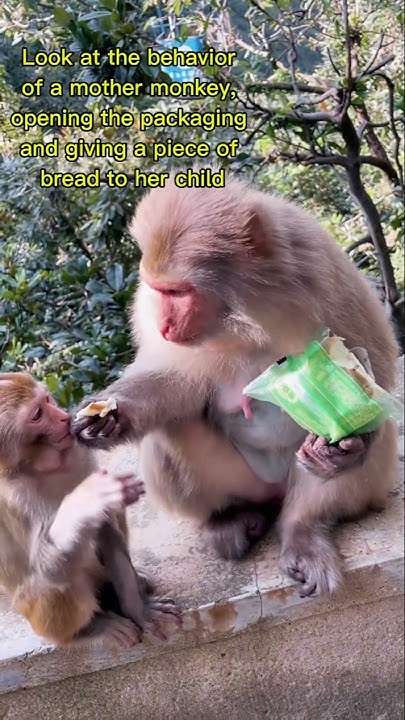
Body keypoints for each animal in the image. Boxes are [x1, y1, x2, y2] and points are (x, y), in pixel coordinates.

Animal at [0, 372, 180, 649]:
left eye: (47, 399)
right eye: (37, 415)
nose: (63, 417)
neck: (39, 467)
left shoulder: (77, 452)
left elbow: (104, 527)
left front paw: (140, 610)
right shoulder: (15, 497)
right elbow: (48, 569)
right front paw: (88, 500)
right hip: (36, 617)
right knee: (53, 585)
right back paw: (91, 629)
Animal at [71, 171, 400, 599]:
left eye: (178, 291)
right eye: (158, 290)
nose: (164, 325)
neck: (245, 307)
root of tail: (272, 493)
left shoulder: (323, 270)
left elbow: (372, 369)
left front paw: (346, 447)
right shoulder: (148, 311)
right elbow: (174, 380)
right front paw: (109, 417)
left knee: (375, 440)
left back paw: (305, 531)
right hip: (244, 481)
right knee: (166, 434)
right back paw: (230, 518)